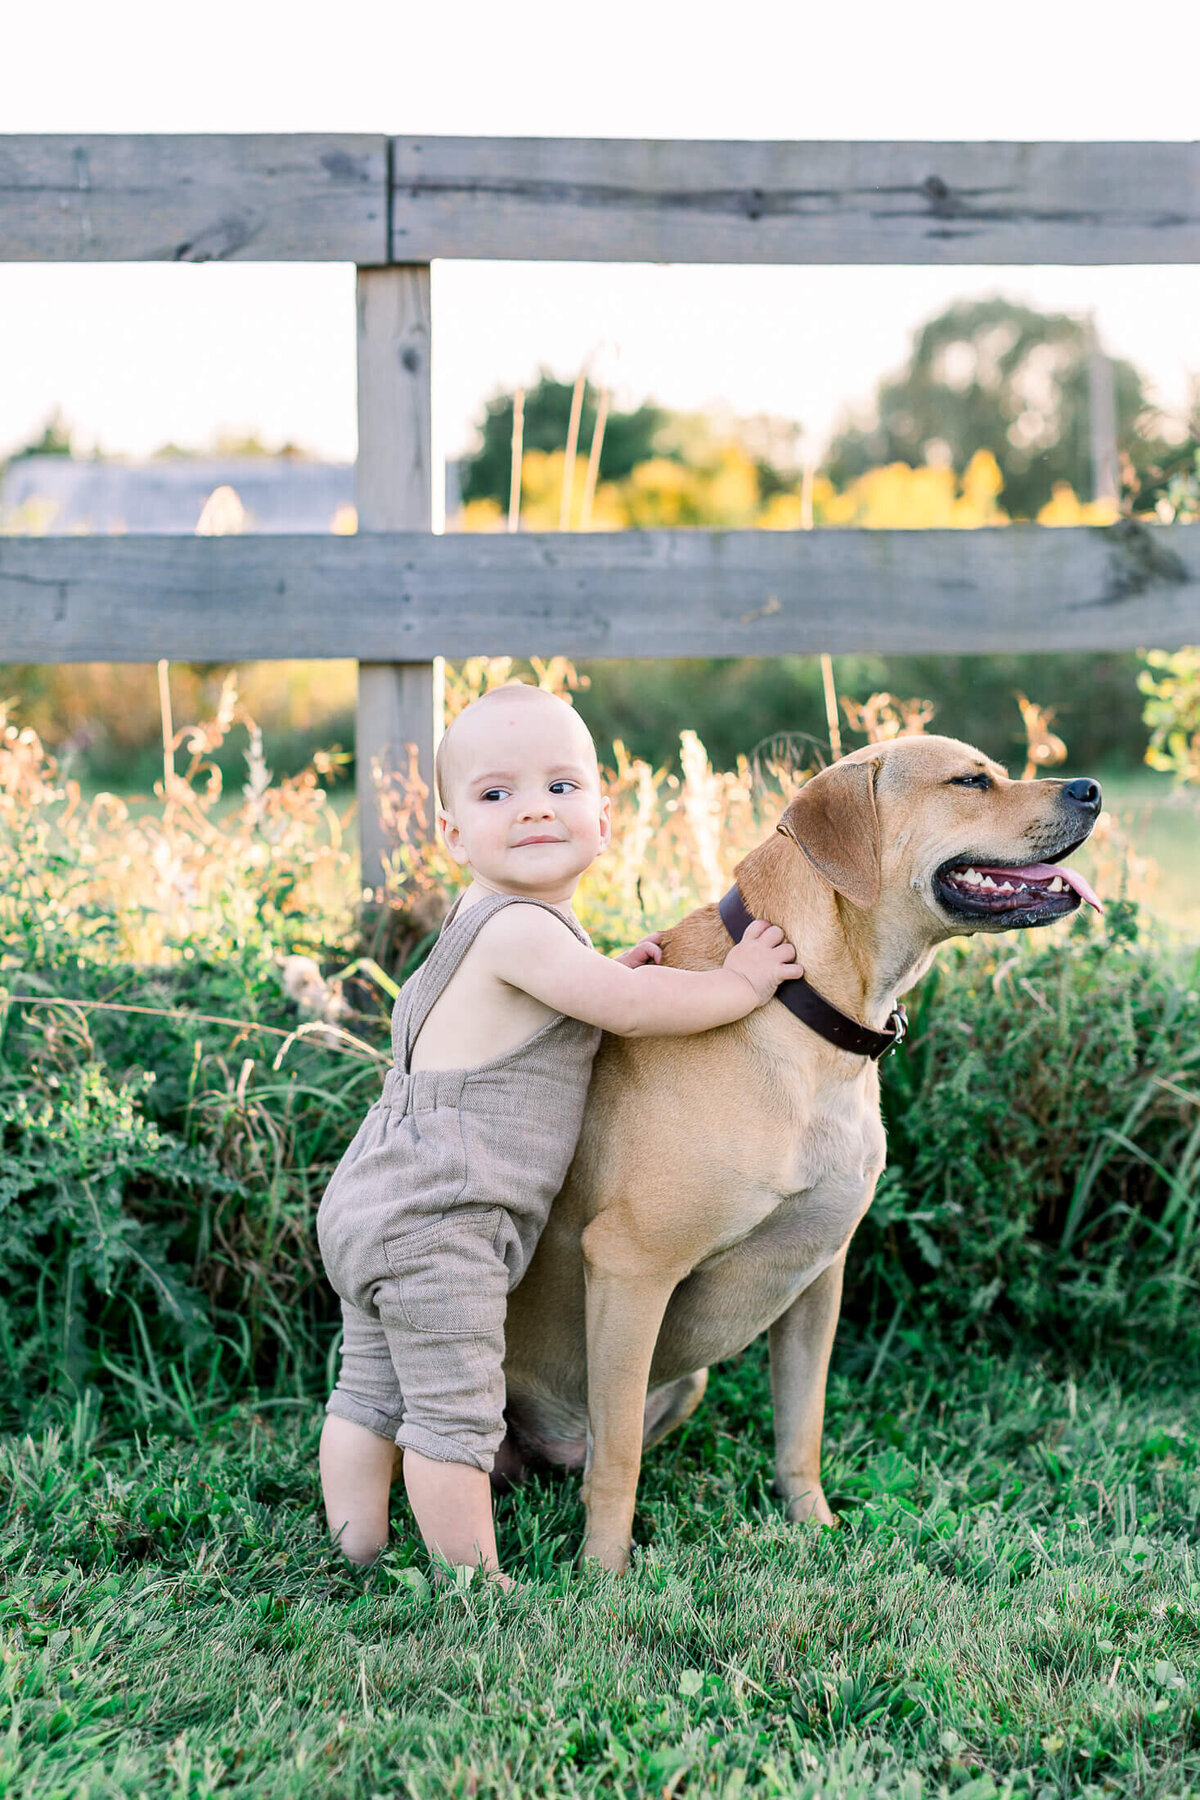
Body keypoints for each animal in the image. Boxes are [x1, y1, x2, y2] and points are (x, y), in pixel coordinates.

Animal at [500, 738, 1108, 1569]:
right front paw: (603, 1572)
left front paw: (812, 1529)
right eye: (970, 780)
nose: (1092, 788)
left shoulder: (817, 1279)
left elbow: (800, 1430)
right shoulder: (630, 1268)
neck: (808, 1008)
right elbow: (618, 1455)